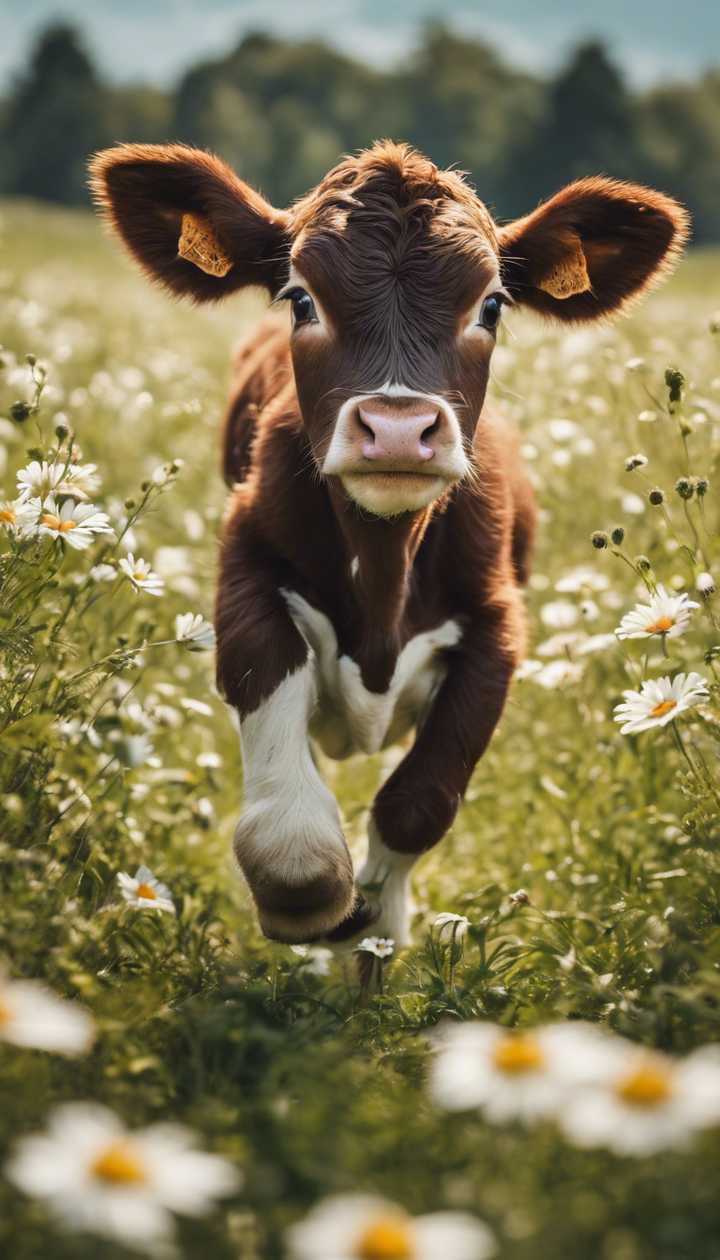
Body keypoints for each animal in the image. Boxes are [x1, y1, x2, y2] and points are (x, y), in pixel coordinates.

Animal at [90, 140, 688, 950]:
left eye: (492, 304)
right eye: (300, 299)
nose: (399, 430)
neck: (382, 577)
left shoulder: (498, 626)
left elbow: (418, 802)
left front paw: (379, 928)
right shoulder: (245, 569)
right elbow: (295, 848)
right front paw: (329, 915)